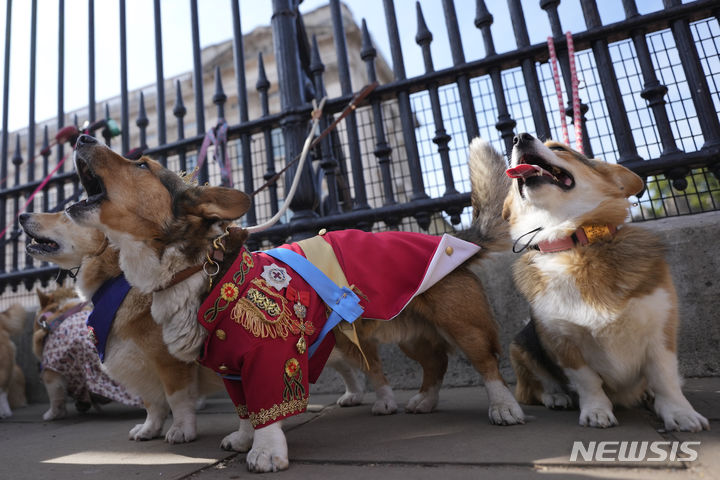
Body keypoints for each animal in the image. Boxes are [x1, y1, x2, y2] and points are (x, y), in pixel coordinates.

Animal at [19, 212, 222, 440]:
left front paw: (180, 430)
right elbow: (152, 404)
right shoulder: (142, 368)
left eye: (66, 214)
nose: (22, 216)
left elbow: (178, 400)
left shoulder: (171, 362)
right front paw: (149, 429)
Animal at [62, 134, 524, 472]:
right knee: (435, 363)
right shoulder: (230, 366)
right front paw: (244, 438)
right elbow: (245, 408)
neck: (198, 269)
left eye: (142, 165)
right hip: (411, 331)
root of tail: (456, 239)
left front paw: (265, 452)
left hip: (462, 323)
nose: (82, 135)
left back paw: (503, 407)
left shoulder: (269, 356)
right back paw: (424, 401)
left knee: (486, 363)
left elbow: (264, 406)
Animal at [484, 133, 708, 434]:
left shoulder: (661, 331)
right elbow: (588, 382)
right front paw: (596, 412)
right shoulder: (563, 342)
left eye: (559, 148)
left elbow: (665, 378)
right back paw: (557, 396)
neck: (574, 243)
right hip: (520, 346)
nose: (520, 137)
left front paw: (680, 413)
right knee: (534, 388)